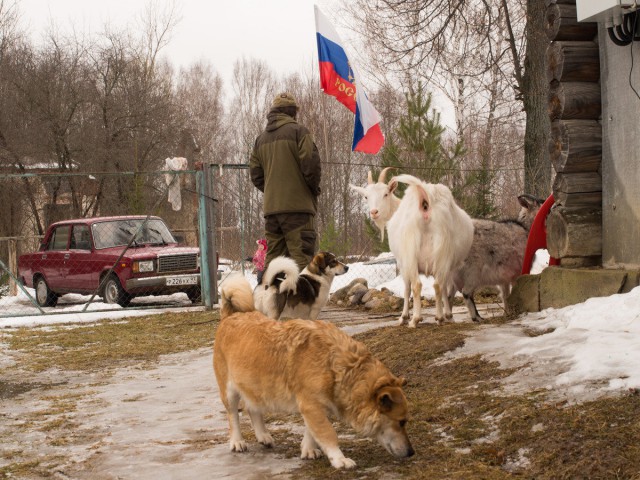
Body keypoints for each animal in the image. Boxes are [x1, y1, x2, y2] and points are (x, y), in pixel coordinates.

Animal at [215, 274, 416, 468]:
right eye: (401, 421)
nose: (411, 452)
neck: (338, 365)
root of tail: (229, 316)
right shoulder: (311, 405)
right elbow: (328, 433)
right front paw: (339, 459)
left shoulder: (317, 407)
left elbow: (312, 431)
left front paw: (308, 450)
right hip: (230, 392)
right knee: (233, 416)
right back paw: (237, 441)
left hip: (255, 388)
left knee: (253, 410)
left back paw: (263, 436)